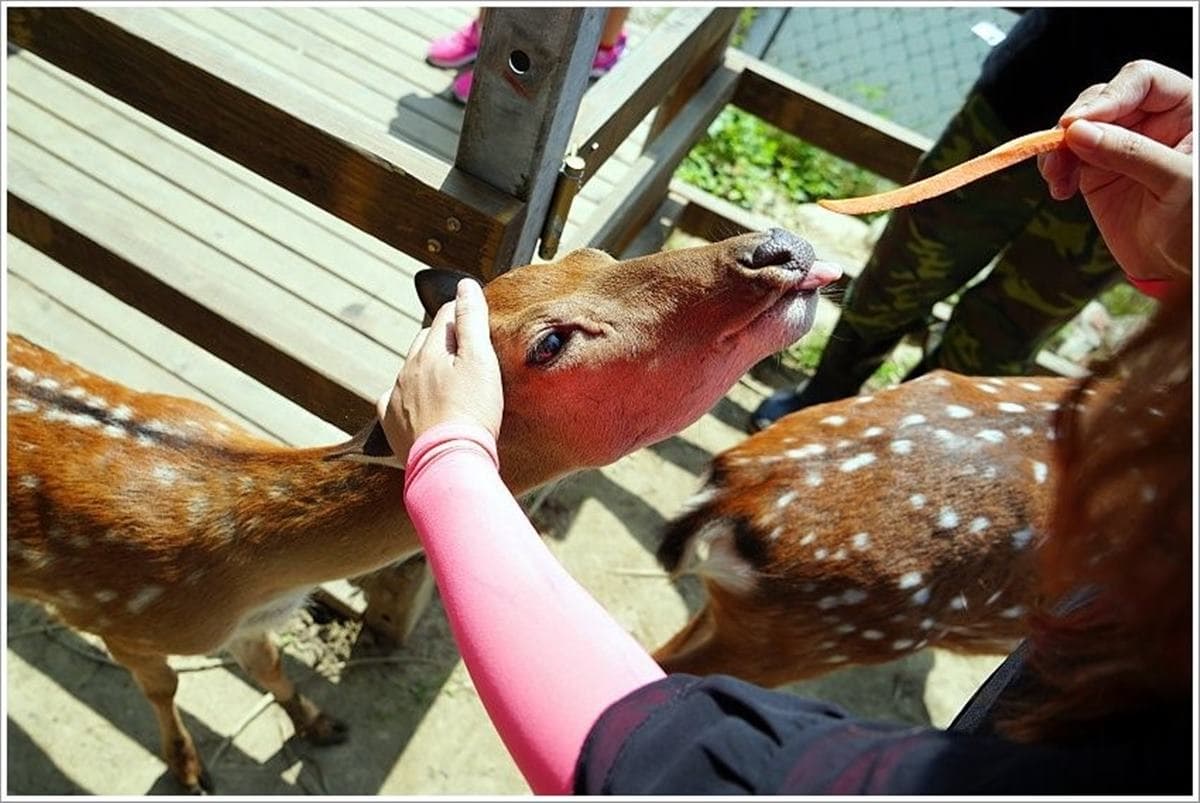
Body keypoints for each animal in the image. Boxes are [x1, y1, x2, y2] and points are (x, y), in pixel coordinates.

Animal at [6, 228, 841, 794]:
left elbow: (273, 669)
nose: (777, 249)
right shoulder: (121, 619)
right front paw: (189, 770)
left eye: (595, 253)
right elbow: (165, 689)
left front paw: (321, 723)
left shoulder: (251, 625)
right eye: (550, 342)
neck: (246, 571)